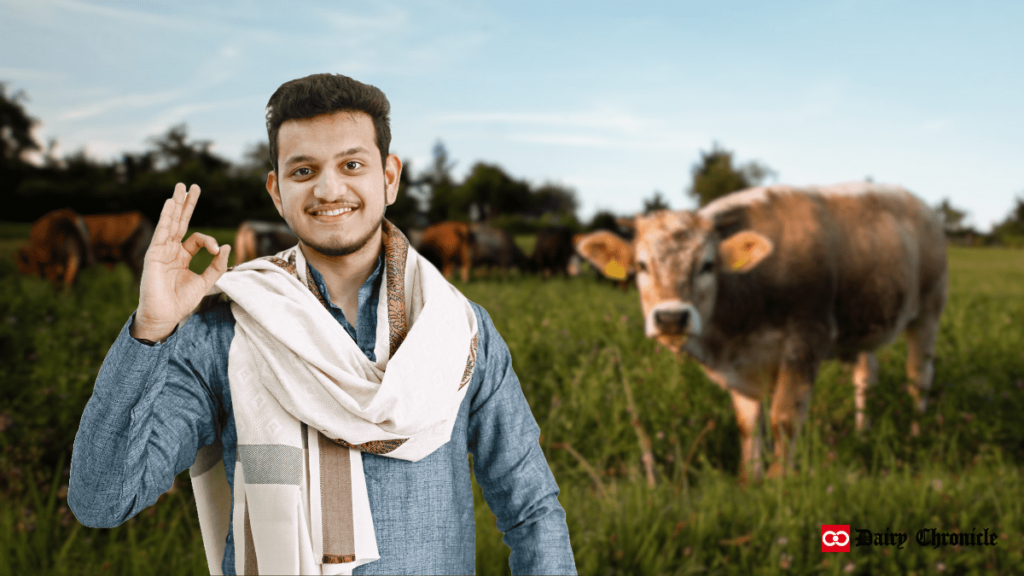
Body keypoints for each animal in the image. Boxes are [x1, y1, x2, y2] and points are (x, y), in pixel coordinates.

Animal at [589, 181, 946, 481]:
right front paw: (750, 481)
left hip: (928, 312)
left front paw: (778, 483)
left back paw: (917, 434)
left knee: (919, 377)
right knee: (866, 375)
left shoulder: (806, 338)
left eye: (708, 265)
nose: (671, 318)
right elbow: (748, 425)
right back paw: (863, 433)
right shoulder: (740, 367)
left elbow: (783, 418)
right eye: (642, 266)